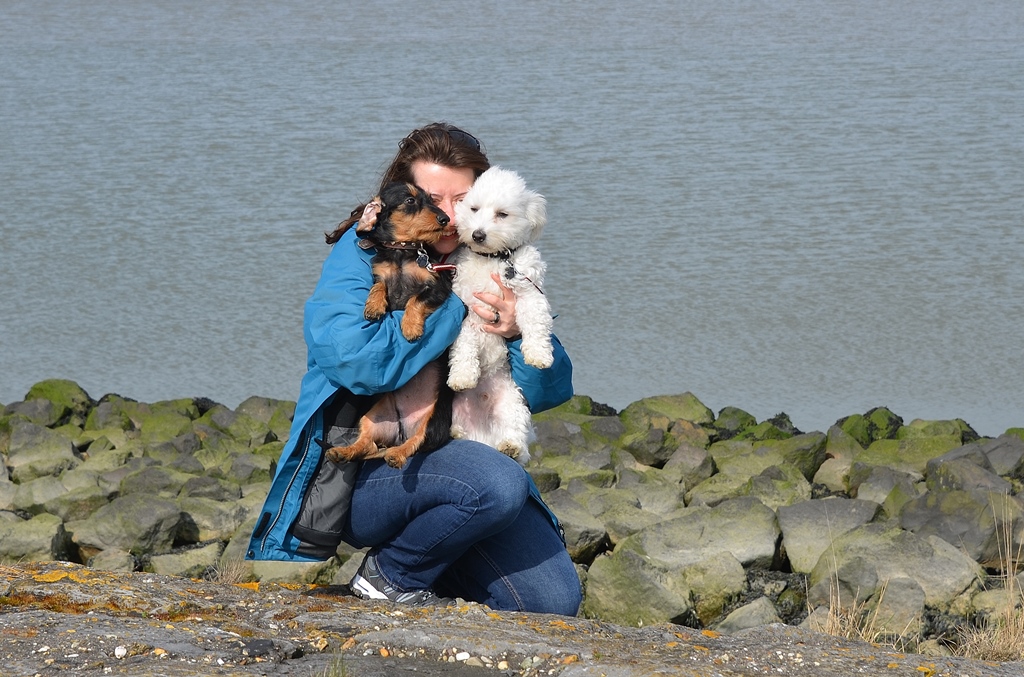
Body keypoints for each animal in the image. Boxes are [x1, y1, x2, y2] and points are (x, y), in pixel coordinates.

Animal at [319, 182, 452, 467]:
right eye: (411, 201)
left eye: (431, 200)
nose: (445, 219)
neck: (402, 250)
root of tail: (400, 432)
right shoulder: (380, 273)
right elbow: (379, 285)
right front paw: (373, 307)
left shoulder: (438, 287)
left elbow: (415, 299)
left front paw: (410, 328)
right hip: (374, 415)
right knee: (366, 445)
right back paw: (341, 452)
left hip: (433, 420)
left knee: (416, 443)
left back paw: (396, 455)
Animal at [452, 165, 557, 462]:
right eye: (474, 208)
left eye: (502, 214)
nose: (478, 234)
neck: (494, 259)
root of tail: (482, 433)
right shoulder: (464, 307)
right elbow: (463, 344)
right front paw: (462, 375)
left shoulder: (530, 293)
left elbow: (535, 323)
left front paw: (539, 355)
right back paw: (457, 433)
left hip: (513, 403)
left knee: (514, 435)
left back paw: (510, 446)